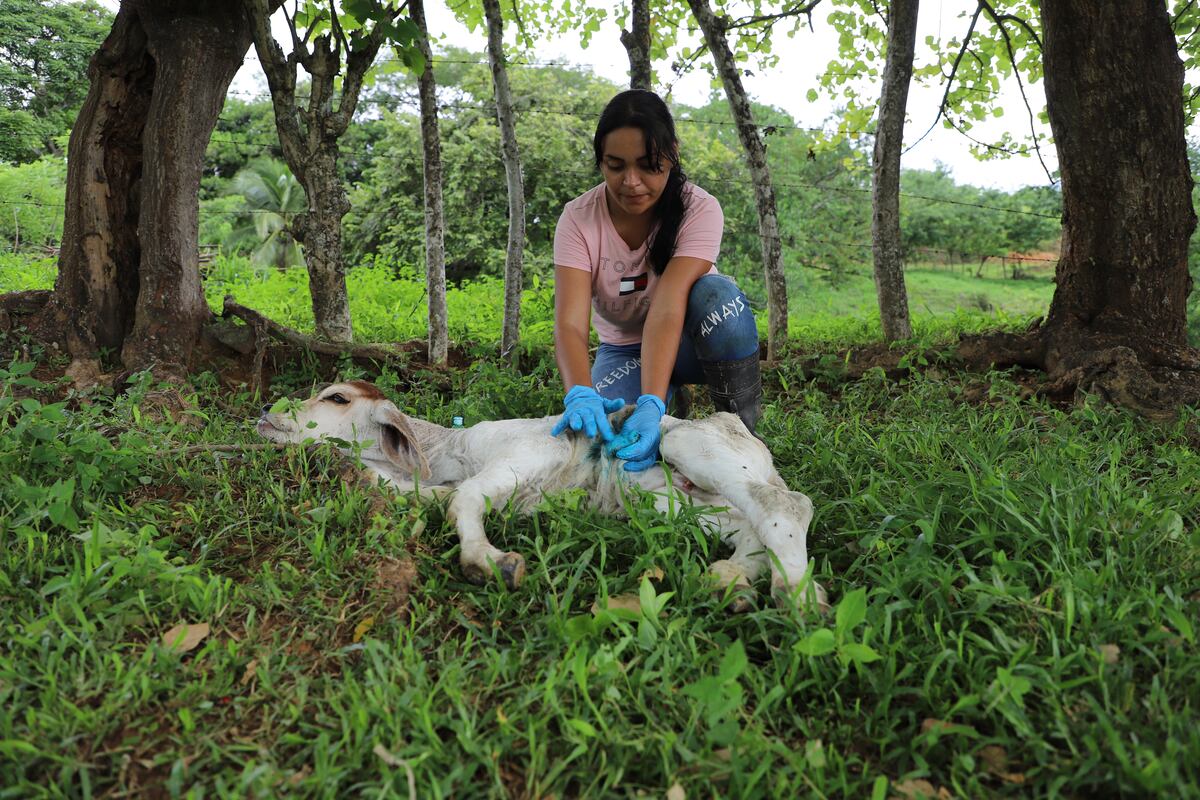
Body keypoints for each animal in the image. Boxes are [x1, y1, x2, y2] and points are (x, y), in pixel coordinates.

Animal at [258, 381, 825, 614]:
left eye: (336, 398)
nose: (267, 412)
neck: (450, 453)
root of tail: (750, 438)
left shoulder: (521, 457)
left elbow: (463, 500)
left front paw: (489, 561)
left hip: (690, 446)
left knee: (788, 505)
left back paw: (797, 596)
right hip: (682, 505)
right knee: (753, 526)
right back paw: (732, 581)